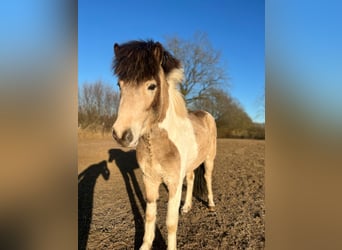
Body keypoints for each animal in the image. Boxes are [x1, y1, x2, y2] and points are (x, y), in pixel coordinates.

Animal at [112, 40, 216, 249]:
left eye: (152, 86)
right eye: (119, 85)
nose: (121, 135)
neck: (157, 146)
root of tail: (206, 114)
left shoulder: (174, 184)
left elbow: (170, 222)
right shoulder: (149, 180)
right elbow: (150, 216)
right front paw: (145, 245)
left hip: (209, 160)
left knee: (207, 178)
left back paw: (210, 204)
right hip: (190, 165)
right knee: (191, 179)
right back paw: (187, 207)